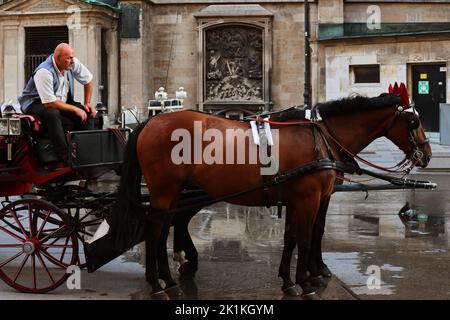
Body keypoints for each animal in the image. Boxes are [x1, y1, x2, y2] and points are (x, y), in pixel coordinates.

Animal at [106, 89, 432, 298]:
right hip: (165, 191)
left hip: (176, 193)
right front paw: (307, 280)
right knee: (155, 231)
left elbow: (293, 236)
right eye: (414, 121)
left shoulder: (302, 199)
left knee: (166, 228)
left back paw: (170, 277)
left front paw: (291, 278)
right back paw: (158, 282)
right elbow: (306, 237)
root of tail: (151, 121)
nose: (427, 155)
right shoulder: (310, 198)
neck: (320, 137)